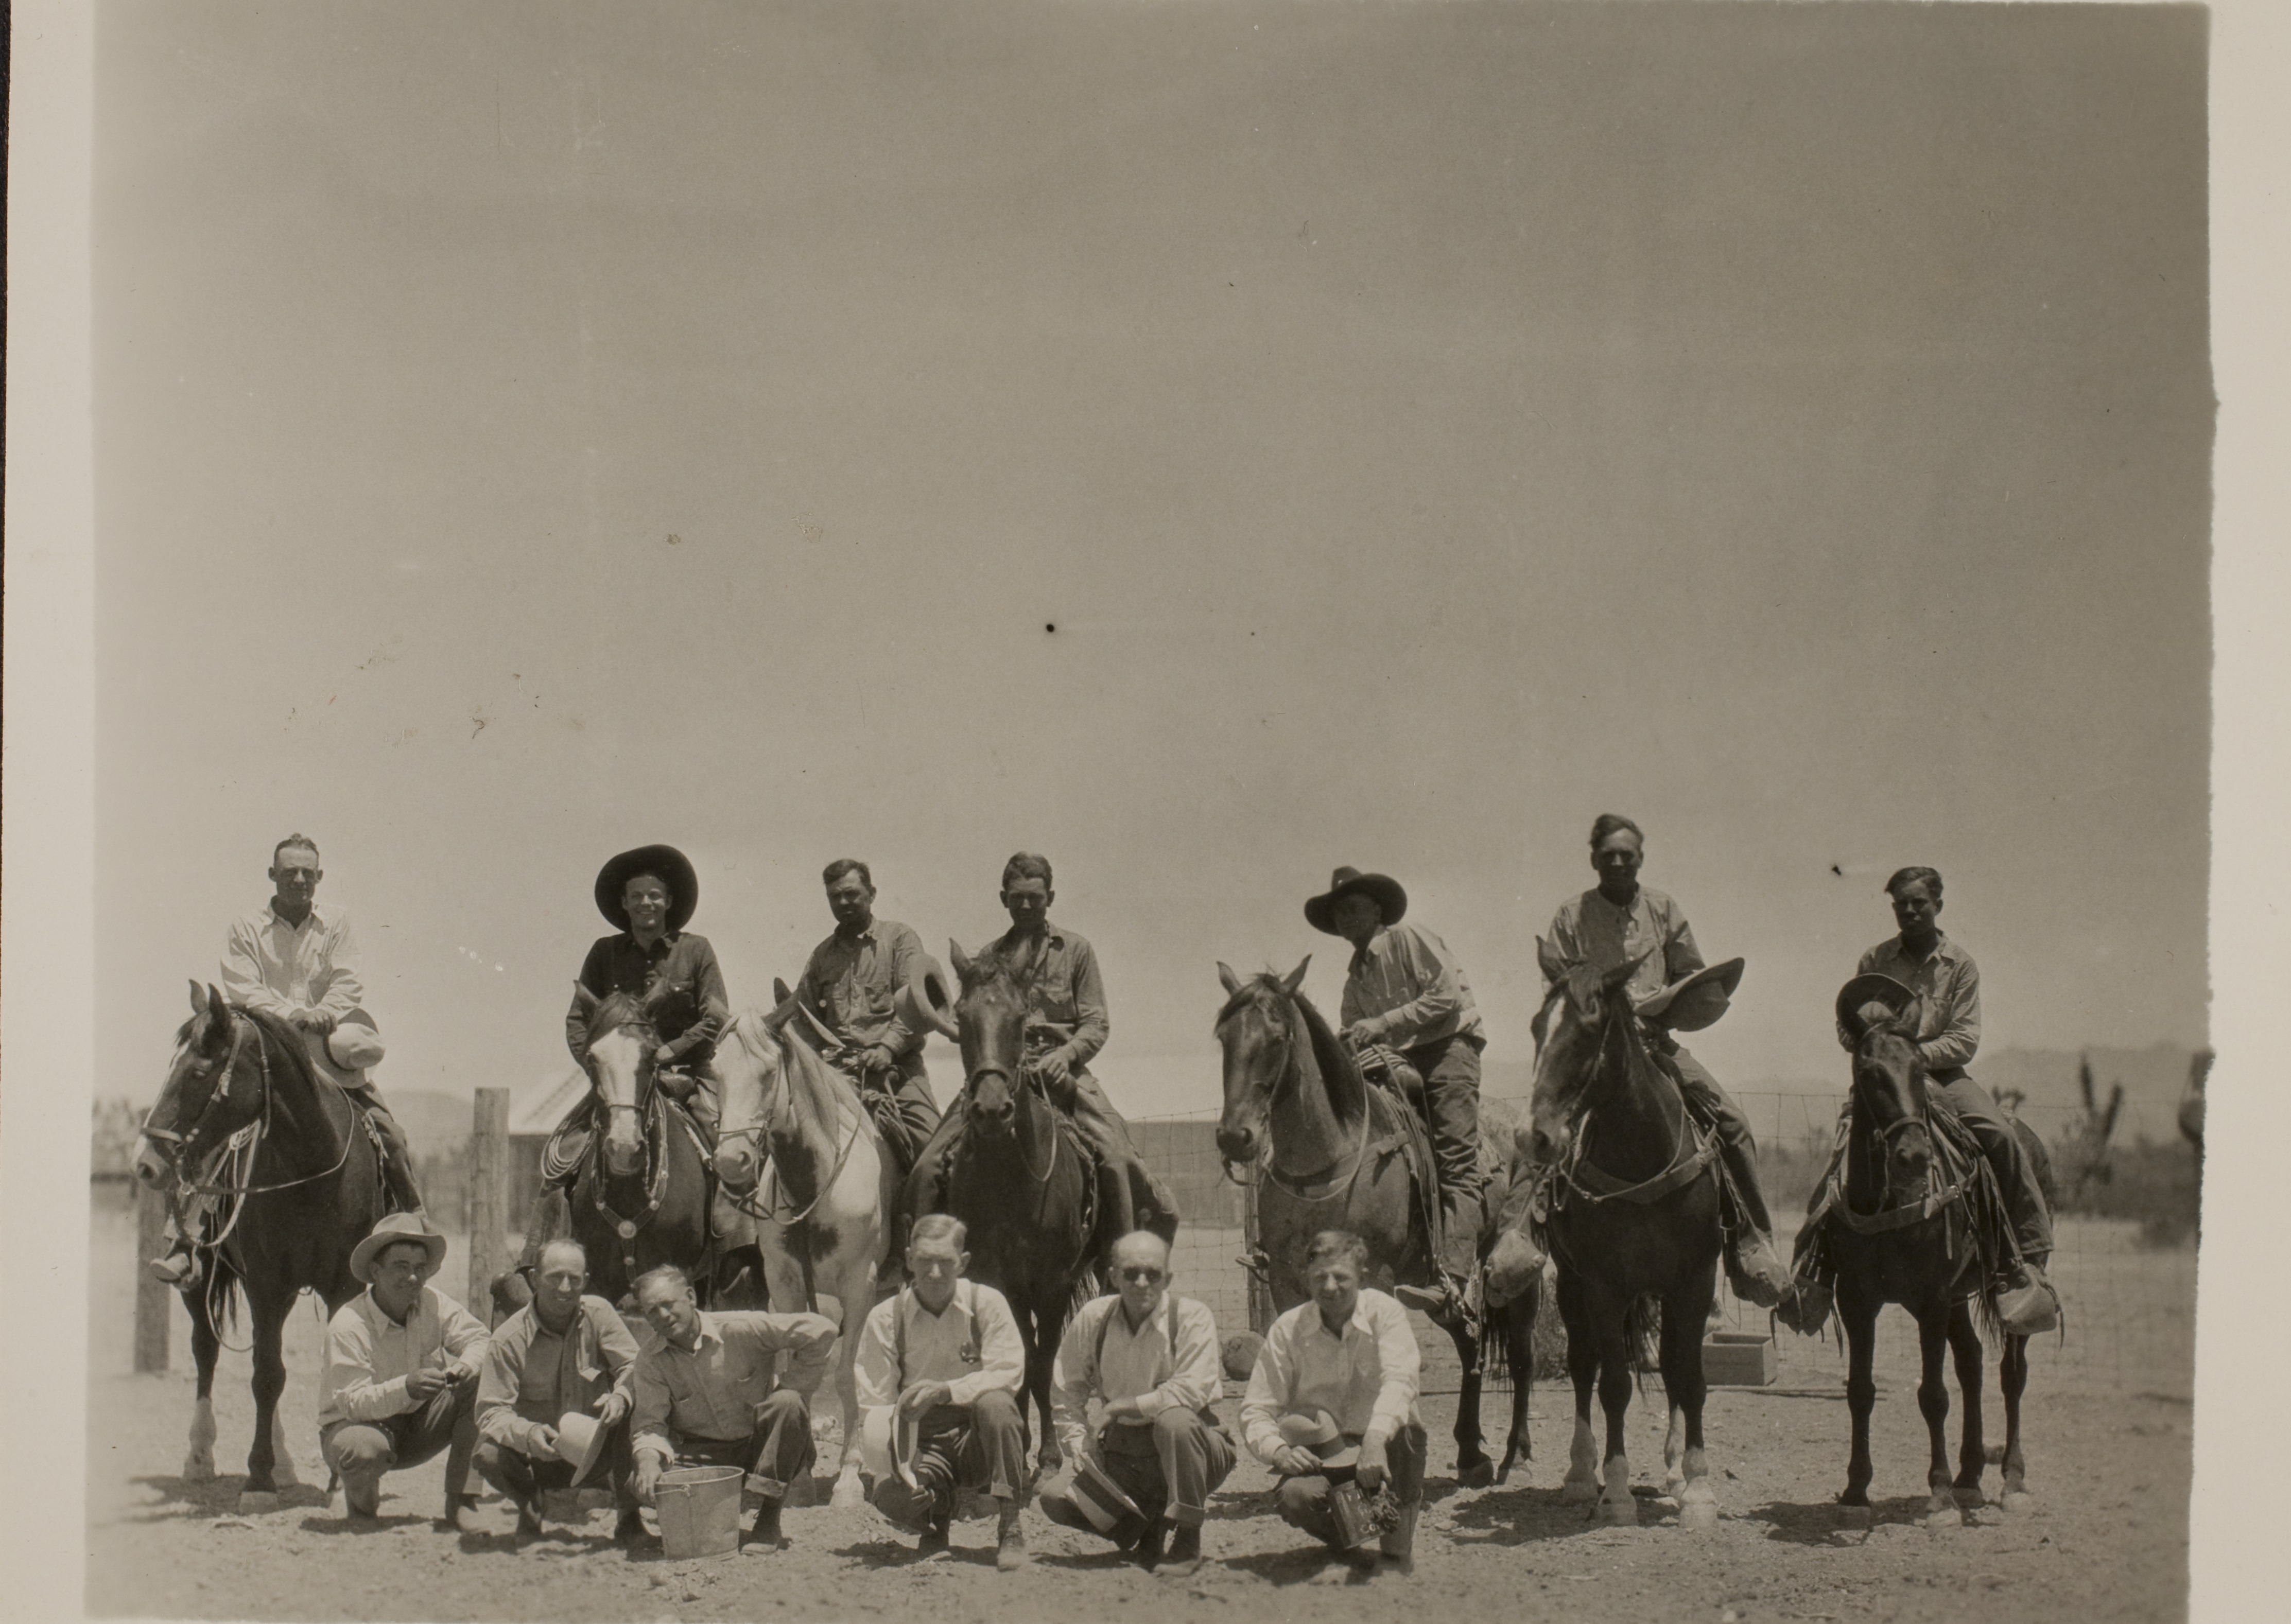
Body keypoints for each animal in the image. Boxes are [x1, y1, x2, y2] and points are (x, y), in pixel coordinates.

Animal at [132, 980, 391, 1511]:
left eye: (199, 1071)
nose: (145, 1163)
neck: (313, 1166)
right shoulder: (267, 1285)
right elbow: (266, 1375)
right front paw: (258, 1478)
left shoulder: (342, 1284)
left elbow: (330, 1368)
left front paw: (339, 1478)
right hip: (201, 1277)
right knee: (206, 1349)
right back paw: (201, 1456)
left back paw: (286, 1463)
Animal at [715, 999, 893, 1511]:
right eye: (715, 1071)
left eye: (768, 1072)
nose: (730, 1162)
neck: (814, 1183)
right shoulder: (787, 1285)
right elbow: (798, 1368)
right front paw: (799, 1474)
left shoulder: (860, 1287)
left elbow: (846, 1375)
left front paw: (850, 1479)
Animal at [1200, 962, 1539, 1484]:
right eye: (1225, 1038)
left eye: (1277, 1038)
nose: (1236, 1137)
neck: (1327, 1163)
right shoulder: (1285, 1282)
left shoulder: (1375, 1276)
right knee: (1470, 1345)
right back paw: (1470, 1453)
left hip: (1510, 1268)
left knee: (1521, 1357)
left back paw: (1514, 1453)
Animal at [1832, 980, 2034, 1530]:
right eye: (1868, 1071)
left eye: (1919, 1069)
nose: (1914, 1156)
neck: (1892, 1206)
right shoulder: (1858, 1303)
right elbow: (1860, 1391)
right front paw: (1856, 1490)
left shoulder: (1931, 1300)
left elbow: (1933, 1395)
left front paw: (1939, 1497)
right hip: (1960, 1298)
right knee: (1972, 1363)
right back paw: (1969, 1476)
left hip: (2003, 1287)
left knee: (2011, 1374)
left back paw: (2011, 1481)